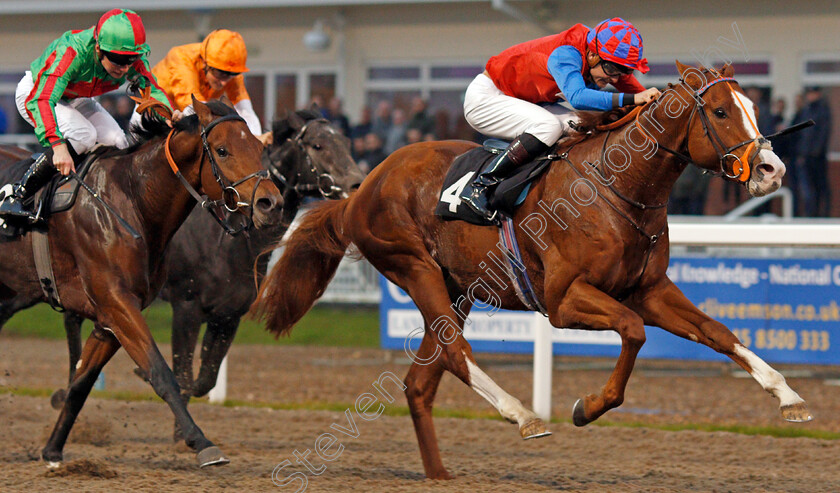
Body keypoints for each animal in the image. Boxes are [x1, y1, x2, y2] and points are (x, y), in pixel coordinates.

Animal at [253, 63, 812, 478]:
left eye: (753, 108)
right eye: (720, 111)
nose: (773, 170)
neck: (618, 186)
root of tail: (362, 187)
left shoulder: (648, 289)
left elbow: (717, 331)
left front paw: (789, 397)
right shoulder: (565, 300)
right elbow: (632, 332)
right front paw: (588, 406)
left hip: (458, 288)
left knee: (420, 382)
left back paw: (441, 474)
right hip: (414, 267)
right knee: (454, 352)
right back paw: (522, 415)